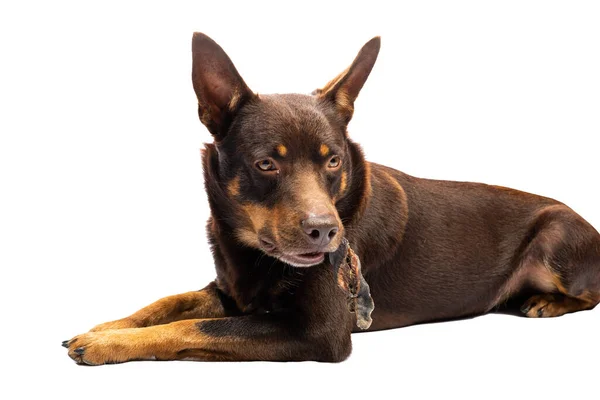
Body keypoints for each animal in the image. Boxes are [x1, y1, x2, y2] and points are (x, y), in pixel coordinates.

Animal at [62, 32, 600, 364]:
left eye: (333, 161)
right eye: (266, 164)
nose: (325, 232)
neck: (251, 249)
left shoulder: (316, 332)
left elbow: (191, 329)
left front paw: (110, 345)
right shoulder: (230, 290)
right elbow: (166, 303)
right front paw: (105, 327)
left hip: (556, 235)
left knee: (590, 293)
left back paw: (544, 302)